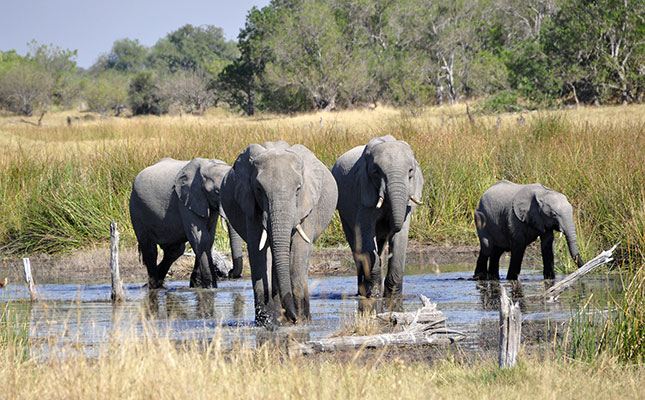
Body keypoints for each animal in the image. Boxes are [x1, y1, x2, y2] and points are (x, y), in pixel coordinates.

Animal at [129, 158, 244, 290]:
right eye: (216, 192)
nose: (229, 273)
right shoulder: (185, 200)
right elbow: (201, 238)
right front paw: (210, 287)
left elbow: (209, 239)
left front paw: (197, 286)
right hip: (136, 209)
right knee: (150, 249)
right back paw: (153, 286)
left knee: (175, 251)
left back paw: (156, 284)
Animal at [221, 139, 338, 326]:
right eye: (259, 189)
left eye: (298, 189)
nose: (293, 317)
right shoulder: (251, 207)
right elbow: (259, 251)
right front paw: (269, 322)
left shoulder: (306, 206)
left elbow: (299, 251)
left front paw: (301, 321)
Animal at [332, 135, 422, 304]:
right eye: (376, 172)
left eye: (410, 171)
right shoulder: (363, 194)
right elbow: (366, 235)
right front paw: (374, 296)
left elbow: (400, 238)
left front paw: (393, 297)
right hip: (343, 212)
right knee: (356, 245)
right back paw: (361, 291)